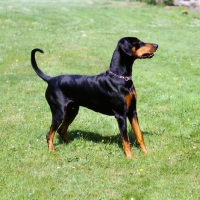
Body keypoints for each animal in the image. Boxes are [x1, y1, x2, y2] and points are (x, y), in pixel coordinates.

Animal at [30, 36, 158, 158]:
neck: (120, 78)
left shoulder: (132, 112)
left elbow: (139, 134)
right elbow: (125, 139)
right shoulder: (121, 115)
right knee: (49, 134)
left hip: (72, 110)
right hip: (59, 113)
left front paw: (146, 153)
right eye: (138, 42)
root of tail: (50, 79)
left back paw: (71, 144)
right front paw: (130, 157)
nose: (156, 45)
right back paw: (52, 150)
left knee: (61, 130)